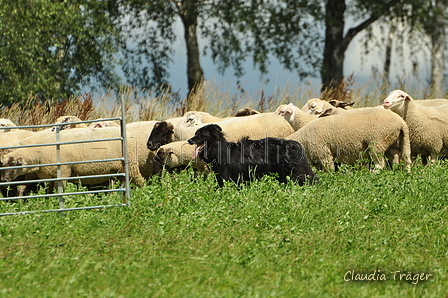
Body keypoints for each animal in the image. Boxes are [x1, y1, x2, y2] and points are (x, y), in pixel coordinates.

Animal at [187, 123, 316, 186]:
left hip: (294, 172)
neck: (219, 151)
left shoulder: (234, 177)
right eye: (195, 133)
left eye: (200, 134)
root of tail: (296, 145)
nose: (189, 140)